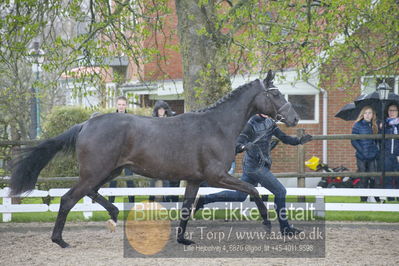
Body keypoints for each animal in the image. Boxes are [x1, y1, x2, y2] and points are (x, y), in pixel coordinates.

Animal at [9, 70, 298, 247]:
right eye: (274, 94)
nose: (294, 118)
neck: (216, 127)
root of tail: (86, 123)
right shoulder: (217, 176)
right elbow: (254, 189)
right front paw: (267, 222)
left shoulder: (195, 180)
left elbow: (186, 208)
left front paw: (182, 239)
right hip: (97, 171)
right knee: (69, 198)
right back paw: (60, 240)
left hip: (110, 171)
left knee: (90, 192)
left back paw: (113, 215)